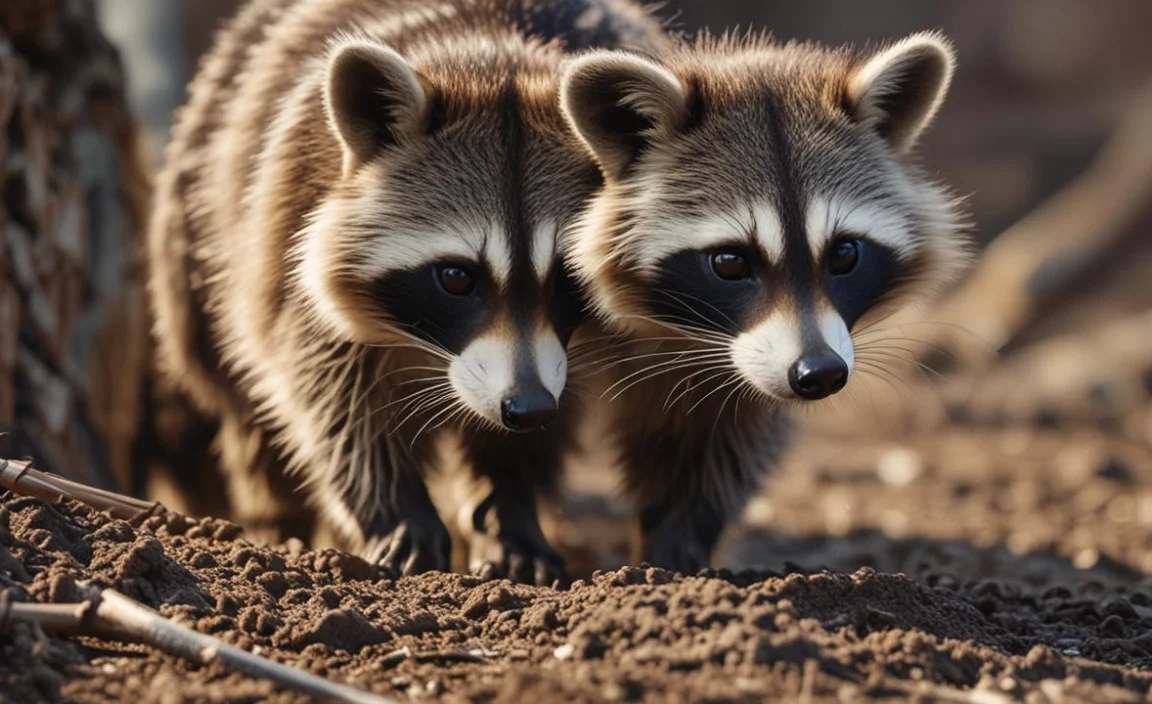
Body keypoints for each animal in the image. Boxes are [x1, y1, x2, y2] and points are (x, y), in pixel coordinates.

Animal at [147, 0, 663, 581]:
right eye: (457, 277)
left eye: (569, 276)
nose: (527, 407)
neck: (496, 61)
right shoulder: (292, 220)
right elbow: (331, 394)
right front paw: (396, 512)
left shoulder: (564, 348)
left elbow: (550, 418)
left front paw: (510, 507)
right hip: (197, 234)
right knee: (245, 402)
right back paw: (278, 521)